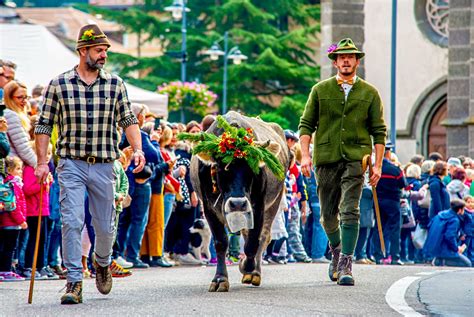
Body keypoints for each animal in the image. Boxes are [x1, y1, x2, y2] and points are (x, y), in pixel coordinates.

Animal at [189, 111, 288, 292]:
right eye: (220, 167)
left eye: (252, 167)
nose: (237, 203)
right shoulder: (208, 208)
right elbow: (221, 242)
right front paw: (220, 279)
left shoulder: (258, 206)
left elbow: (254, 241)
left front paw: (246, 266)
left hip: (275, 201)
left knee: (264, 236)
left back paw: (254, 272)